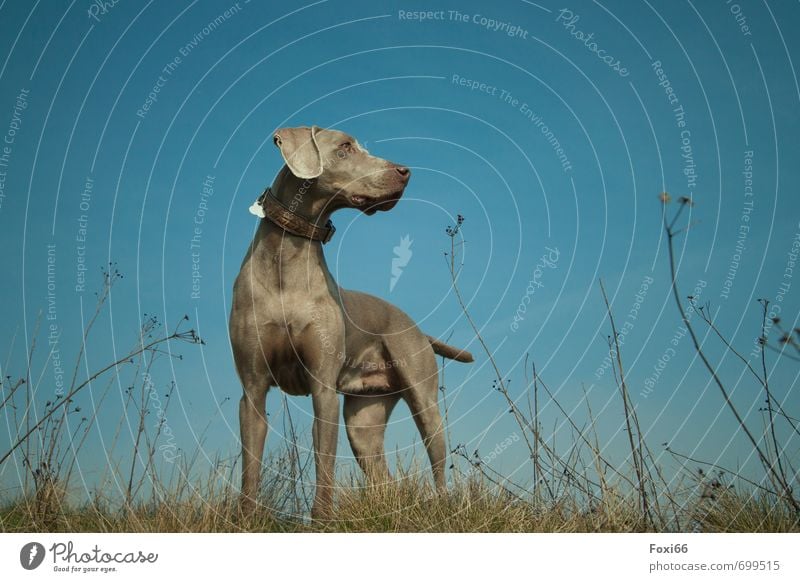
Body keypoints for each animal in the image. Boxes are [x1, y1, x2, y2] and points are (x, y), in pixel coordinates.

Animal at [228, 126, 472, 520]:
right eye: (345, 147)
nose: (405, 172)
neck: (286, 259)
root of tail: (416, 327)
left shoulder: (322, 387)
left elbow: (324, 461)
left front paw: (322, 520)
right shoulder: (252, 389)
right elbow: (251, 465)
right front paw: (246, 520)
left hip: (424, 401)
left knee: (438, 467)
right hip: (363, 422)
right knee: (383, 477)